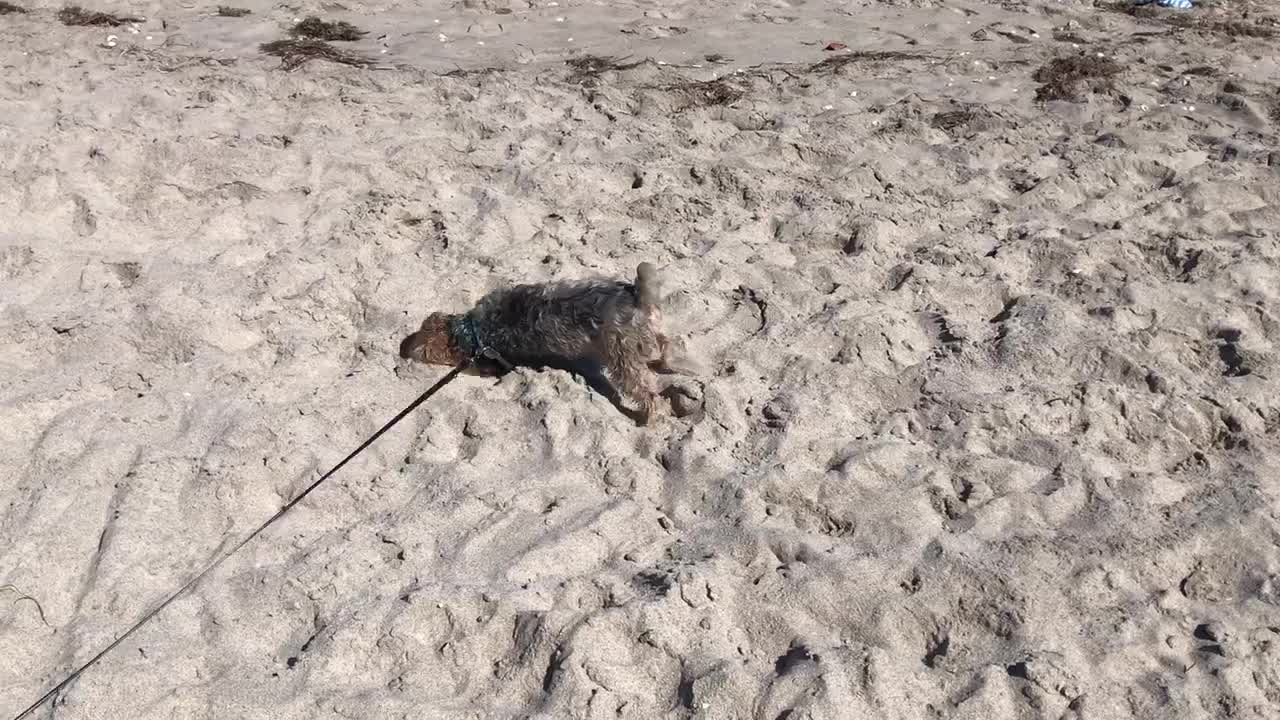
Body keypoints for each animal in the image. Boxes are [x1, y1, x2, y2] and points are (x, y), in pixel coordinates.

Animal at [396, 262, 691, 420]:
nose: (404, 348)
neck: (473, 330)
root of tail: (635, 295)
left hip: (622, 357)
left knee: (647, 394)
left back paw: (649, 418)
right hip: (647, 333)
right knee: (664, 345)